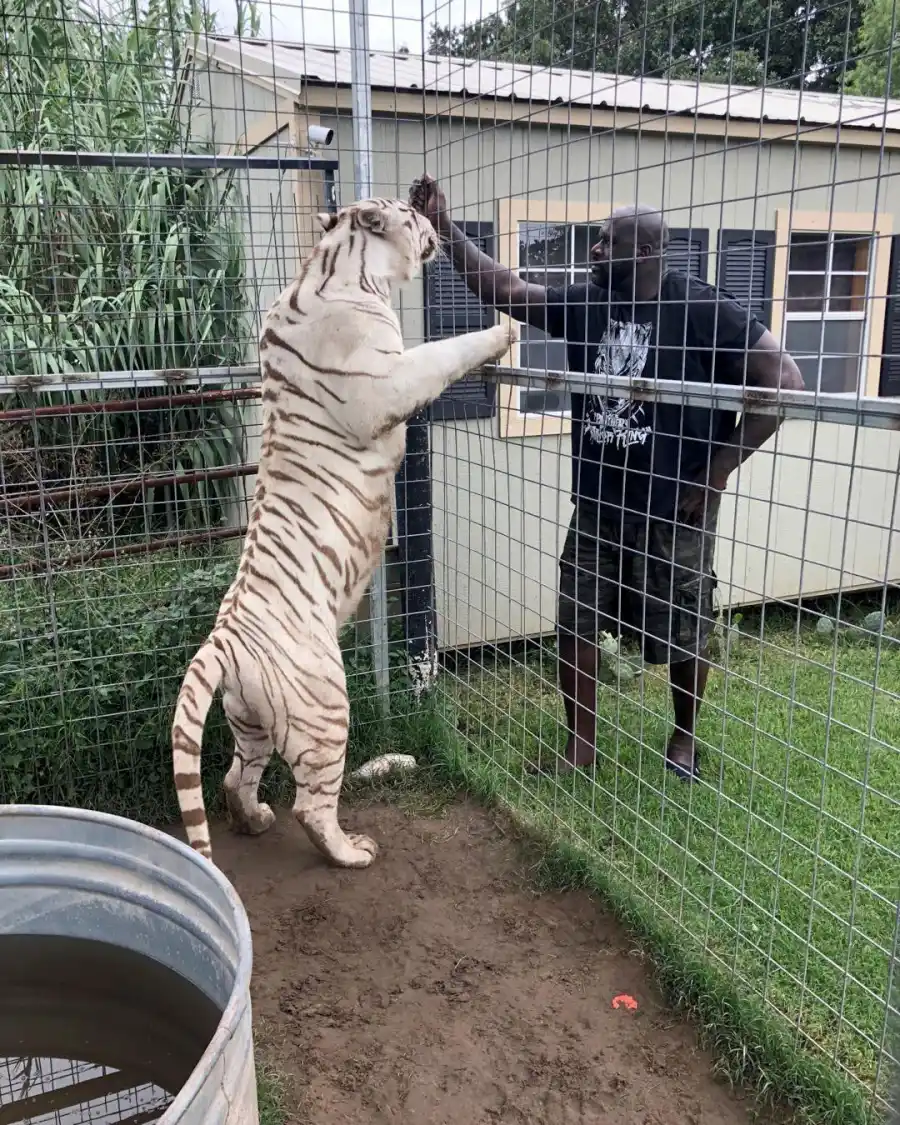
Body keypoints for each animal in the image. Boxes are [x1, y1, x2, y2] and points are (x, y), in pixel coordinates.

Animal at [171, 196, 517, 868]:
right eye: (411, 214)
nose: (432, 220)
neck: (339, 266)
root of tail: (223, 639)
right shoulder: (392, 377)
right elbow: (447, 349)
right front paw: (506, 330)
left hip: (249, 719)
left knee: (233, 778)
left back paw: (254, 820)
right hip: (324, 706)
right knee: (311, 804)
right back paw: (351, 851)